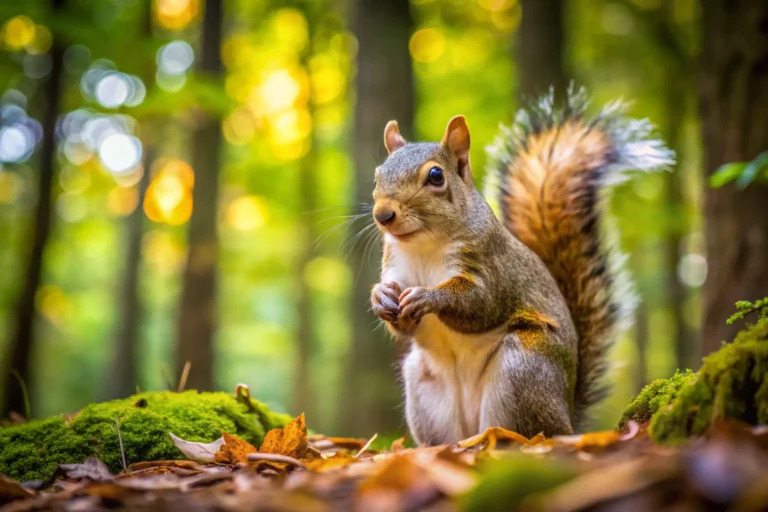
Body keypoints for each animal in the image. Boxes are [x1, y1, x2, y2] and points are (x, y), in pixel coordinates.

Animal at [368, 88, 676, 444]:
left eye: (435, 176)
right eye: (377, 174)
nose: (383, 215)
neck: (423, 246)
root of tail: (568, 415)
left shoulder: (492, 265)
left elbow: (480, 304)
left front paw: (428, 297)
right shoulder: (395, 267)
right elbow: (403, 324)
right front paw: (380, 297)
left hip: (523, 368)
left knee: (528, 432)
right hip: (423, 387)